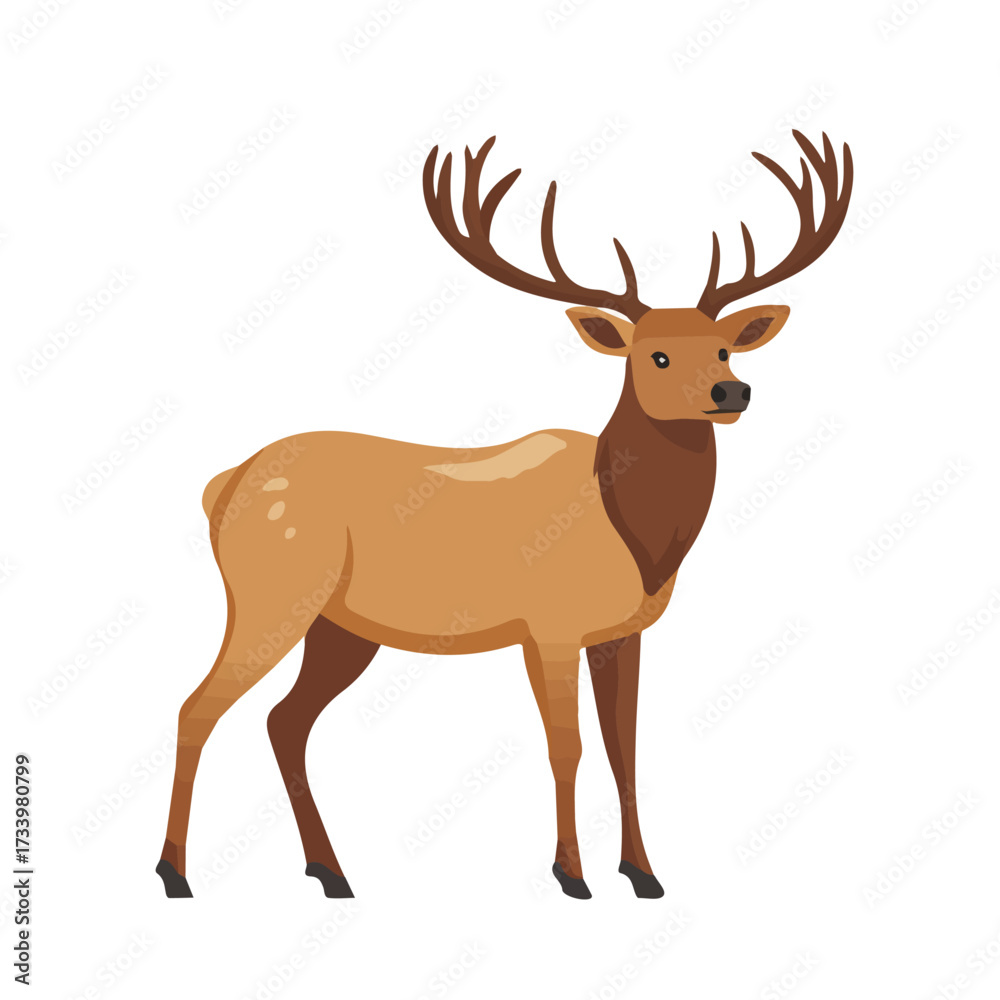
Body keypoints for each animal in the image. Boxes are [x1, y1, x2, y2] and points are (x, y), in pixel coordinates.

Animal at [157, 130, 852, 901]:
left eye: (724, 346)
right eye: (657, 356)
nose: (732, 391)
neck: (638, 541)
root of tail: (222, 486)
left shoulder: (623, 632)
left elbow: (624, 747)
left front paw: (644, 874)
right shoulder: (548, 625)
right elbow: (566, 745)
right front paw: (571, 874)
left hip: (341, 627)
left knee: (284, 720)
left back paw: (330, 871)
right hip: (270, 593)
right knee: (197, 706)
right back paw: (175, 873)